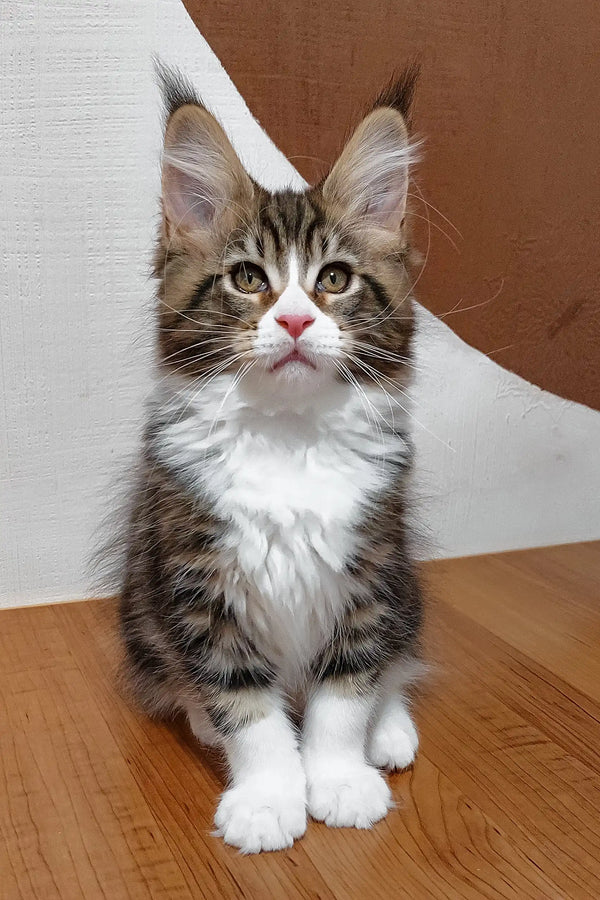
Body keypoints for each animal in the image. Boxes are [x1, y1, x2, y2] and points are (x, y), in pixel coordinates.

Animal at [119, 63, 422, 852]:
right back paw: (198, 719)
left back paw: (392, 730)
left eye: (334, 280)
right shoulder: (199, 584)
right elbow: (246, 709)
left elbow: (347, 693)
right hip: (141, 607)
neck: (288, 436)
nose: (291, 320)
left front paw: (340, 778)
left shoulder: (370, 572)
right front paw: (267, 797)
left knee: (399, 659)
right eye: (250, 279)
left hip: (408, 582)